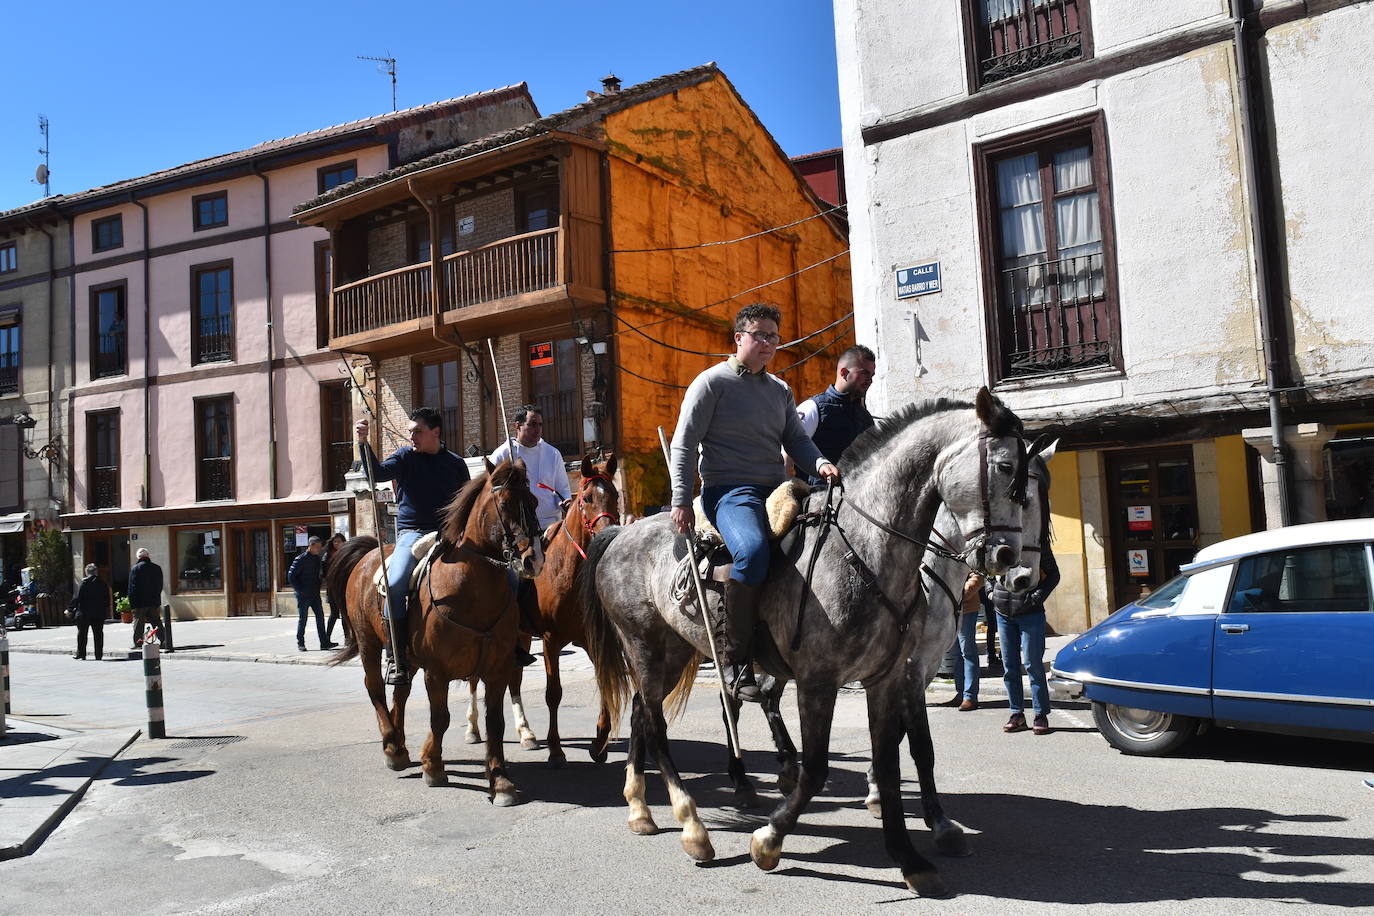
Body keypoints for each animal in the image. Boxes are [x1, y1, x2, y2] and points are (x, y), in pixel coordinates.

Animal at [328, 458, 546, 802]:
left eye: (534, 502)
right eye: (504, 504)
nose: (532, 560)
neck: (469, 587)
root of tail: (369, 553)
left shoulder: (497, 669)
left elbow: (495, 722)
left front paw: (499, 781)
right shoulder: (437, 671)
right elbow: (440, 718)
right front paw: (433, 766)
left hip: (406, 658)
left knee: (400, 692)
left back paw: (401, 745)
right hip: (368, 644)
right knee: (374, 687)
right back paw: (392, 746)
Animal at [469, 450, 626, 769]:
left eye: (615, 495)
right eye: (587, 498)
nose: (609, 533)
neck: (567, 571)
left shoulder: (591, 639)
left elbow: (604, 682)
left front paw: (600, 743)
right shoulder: (552, 641)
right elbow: (554, 693)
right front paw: (556, 750)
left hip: (519, 635)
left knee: (514, 680)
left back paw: (526, 733)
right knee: (474, 681)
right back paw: (473, 728)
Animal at [577, 387, 1033, 895]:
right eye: (1006, 467)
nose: (1009, 561)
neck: (865, 550)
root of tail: (621, 532)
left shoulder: (888, 678)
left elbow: (891, 763)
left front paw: (909, 857)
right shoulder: (819, 681)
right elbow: (816, 769)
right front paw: (768, 841)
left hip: (672, 651)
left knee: (642, 712)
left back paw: (640, 808)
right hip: (643, 645)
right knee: (656, 725)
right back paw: (692, 826)